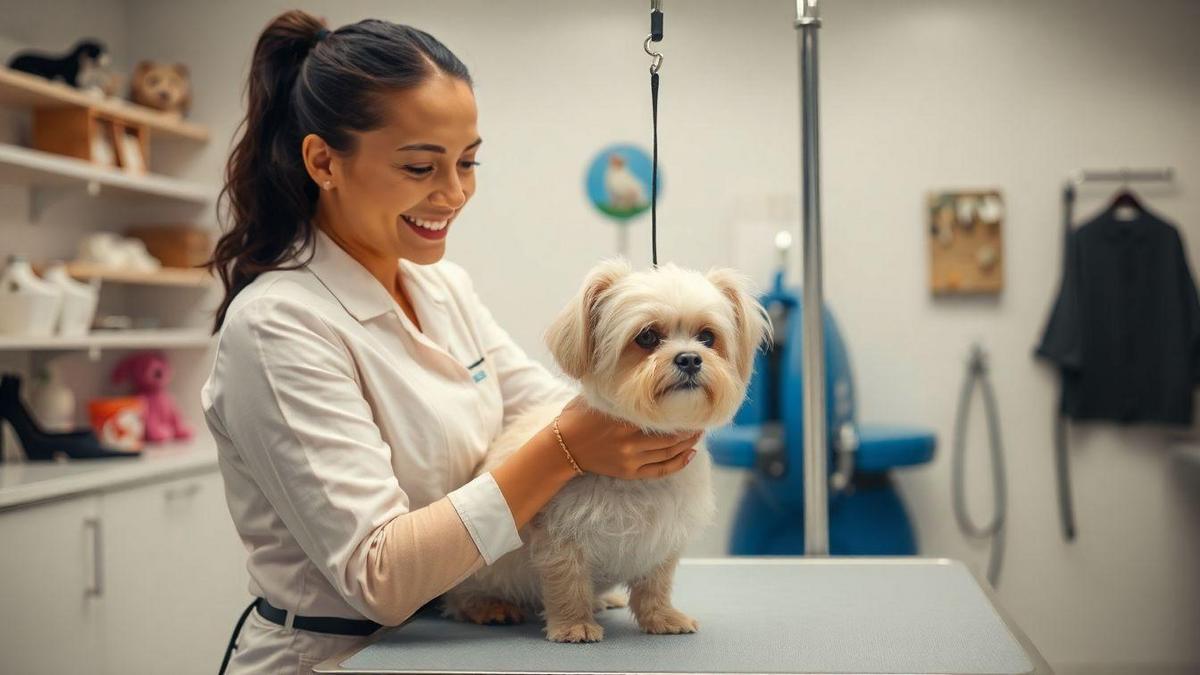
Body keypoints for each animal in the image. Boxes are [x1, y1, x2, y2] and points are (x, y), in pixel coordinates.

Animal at [444, 257, 768, 638]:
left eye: (707, 336)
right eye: (647, 337)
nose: (690, 358)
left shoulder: (663, 536)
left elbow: (655, 585)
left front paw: (662, 617)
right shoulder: (561, 535)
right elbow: (567, 582)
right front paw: (574, 624)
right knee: (460, 597)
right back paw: (488, 606)